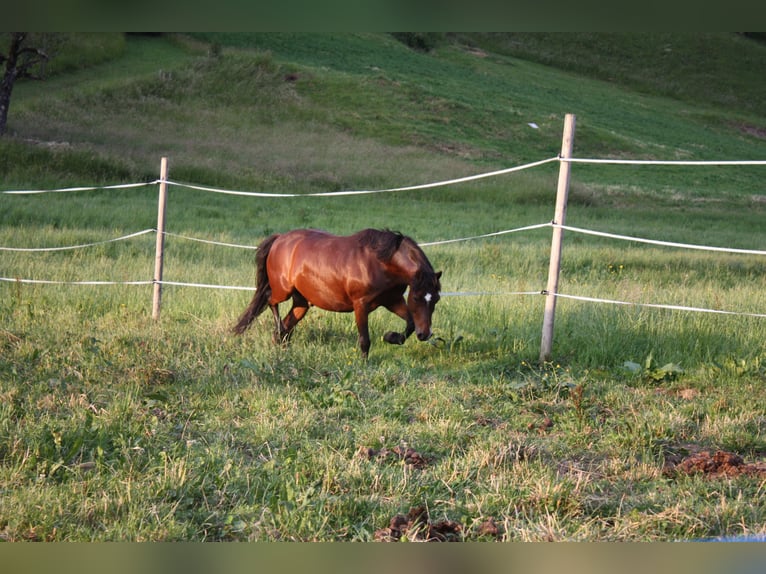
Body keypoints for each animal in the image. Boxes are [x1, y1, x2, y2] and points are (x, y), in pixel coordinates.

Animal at [232, 228, 442, 358]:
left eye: (436, 300)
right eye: (416, 297)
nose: (425, 334)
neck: (381, 261)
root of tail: (280, 238)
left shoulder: (392, 300)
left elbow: (410, 323)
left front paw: (391, 337)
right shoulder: (361, 304)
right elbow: (364, 340)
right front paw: (364, 365)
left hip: (301, 303)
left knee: (286, 322)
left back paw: (283, 344)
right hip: (283, 290)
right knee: (271, 301)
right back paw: (280, 330)